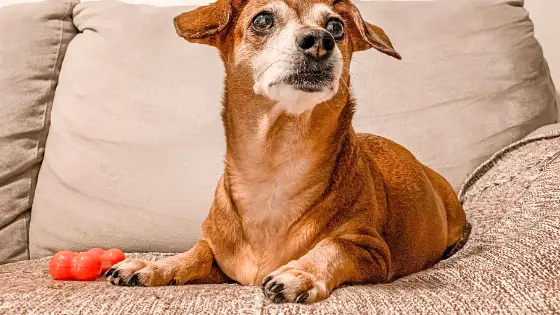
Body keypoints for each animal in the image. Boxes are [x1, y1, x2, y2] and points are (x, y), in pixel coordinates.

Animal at [105, 0, 468, 306]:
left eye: (336, 26)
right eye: (262, 20)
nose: (320, 40)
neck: (276, 164)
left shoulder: (372, 251)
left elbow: (335, 245)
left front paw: (300, 272)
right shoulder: (221, 256)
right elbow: (197, 251)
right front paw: (151, 266)